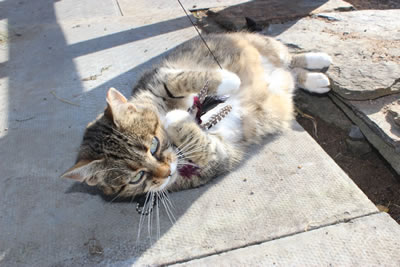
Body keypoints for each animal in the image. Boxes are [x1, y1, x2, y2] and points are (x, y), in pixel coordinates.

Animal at [61, 31, 332, 199]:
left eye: (153, 145)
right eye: (137, 177)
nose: (166, 172)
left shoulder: (160, 77)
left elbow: (183, 79)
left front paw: (228, 80)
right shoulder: (218, 155)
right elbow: (202, 144)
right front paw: (178, 119)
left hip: (268, 47)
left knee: (290, 57)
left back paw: (318, 59)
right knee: (293, 73)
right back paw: (316, 80)